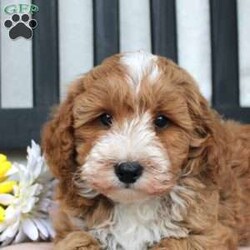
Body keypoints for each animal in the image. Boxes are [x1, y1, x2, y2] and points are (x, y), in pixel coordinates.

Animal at [42, 51, 249, 250]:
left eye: (161, 121)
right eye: (105, 118)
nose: (128, 170)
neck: (134, 204)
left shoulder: (208, 234)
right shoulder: (72, 227)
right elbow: (77, 240)